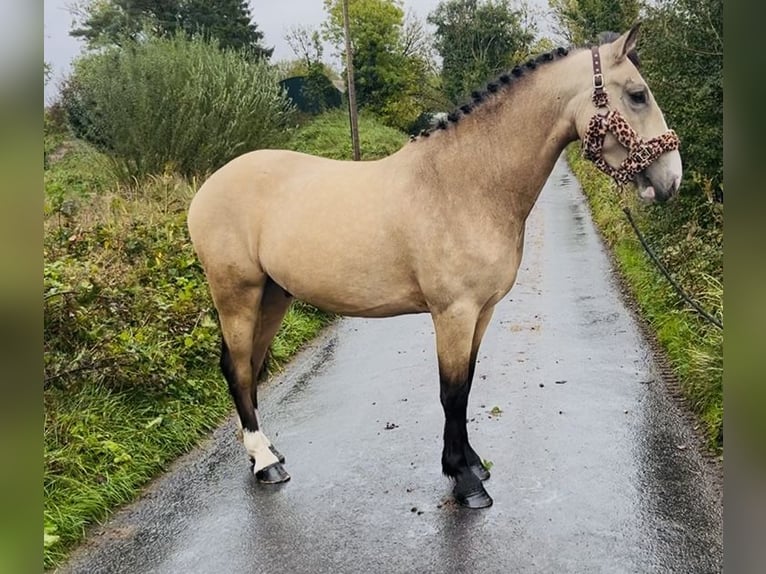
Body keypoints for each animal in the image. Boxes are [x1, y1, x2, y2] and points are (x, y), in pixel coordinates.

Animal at [187, 23, 682, 509]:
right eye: (637, 95)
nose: (671, 179)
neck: (467, 184)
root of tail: (207, 187)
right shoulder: (454, 313)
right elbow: (452, 391)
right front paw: (464, 480)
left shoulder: (483, 311)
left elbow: (467, 386)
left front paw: (472, 463)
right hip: (238, 295)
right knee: (238, 369)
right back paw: (266, 462)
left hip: (273, 295)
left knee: (248, 367)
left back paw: (265, 452)